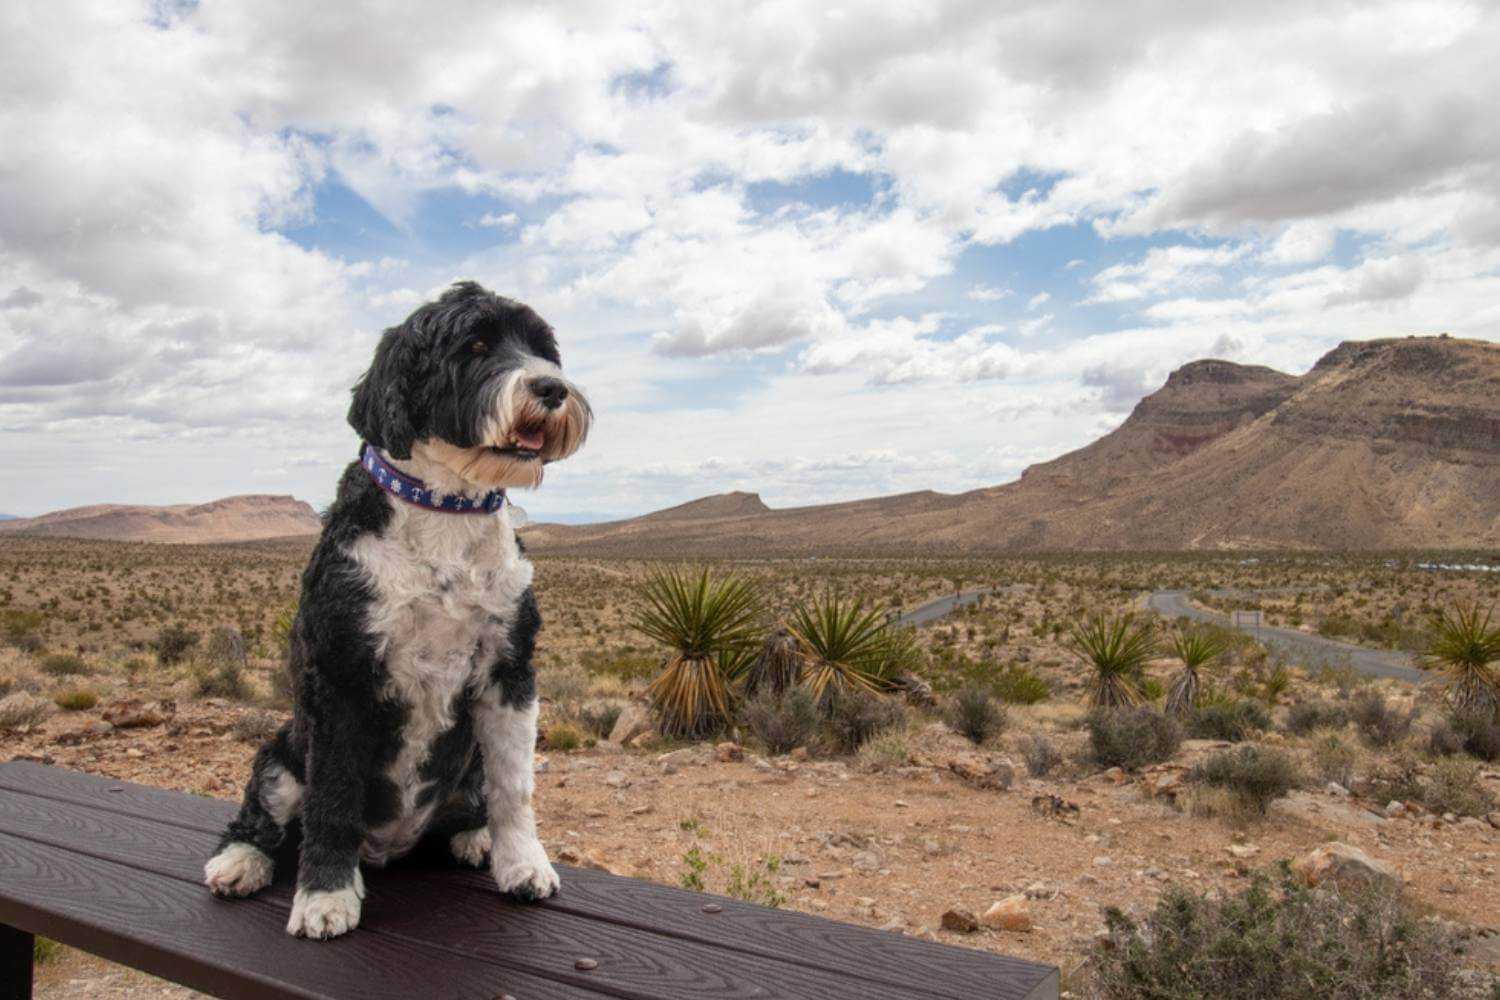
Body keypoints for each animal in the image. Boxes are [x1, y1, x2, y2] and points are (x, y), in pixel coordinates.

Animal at [205, 280, 591, 941]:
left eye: (544, 350)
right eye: (475, 345)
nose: (552, 388)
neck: (443, 511)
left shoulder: (510, 668)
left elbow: (515, 786)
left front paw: (523, 865)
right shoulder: (343, 677)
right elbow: (333, 799)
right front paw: (325, 897)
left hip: (466, 769)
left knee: (476, 800)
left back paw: (473, 837)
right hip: (283, 754)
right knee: (270, 815)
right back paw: (242, 861)